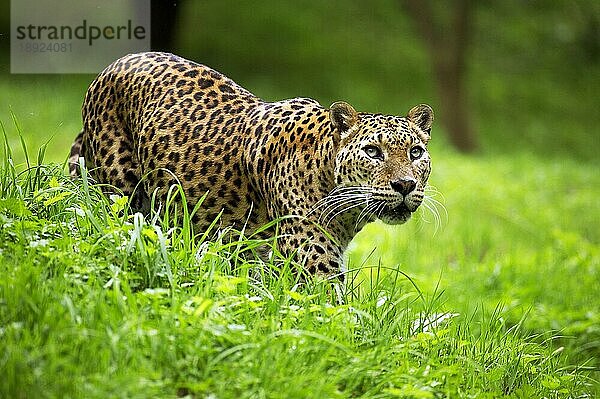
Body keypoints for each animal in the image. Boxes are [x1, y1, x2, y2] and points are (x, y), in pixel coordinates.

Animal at [70, 51, 434, 280]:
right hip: (121, 194)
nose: (405, 185)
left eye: (415, 153)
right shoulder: (315, 269)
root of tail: (114, 64)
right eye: (373, 151)